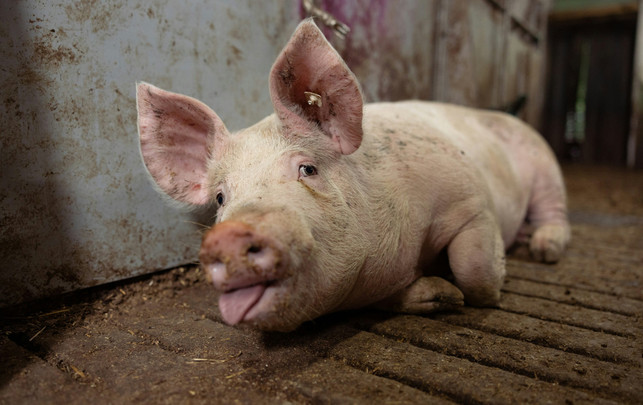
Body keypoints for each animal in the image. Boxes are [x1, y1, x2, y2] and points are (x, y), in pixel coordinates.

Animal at [136, 20, 570, 332]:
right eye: (221, 197)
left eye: (307, 168)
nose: (227, 235)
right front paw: (441, 294)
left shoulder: (470, 200)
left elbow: (475, 270)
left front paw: (475, 290)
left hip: (544, 161)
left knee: (554, 208)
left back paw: (543, 248)